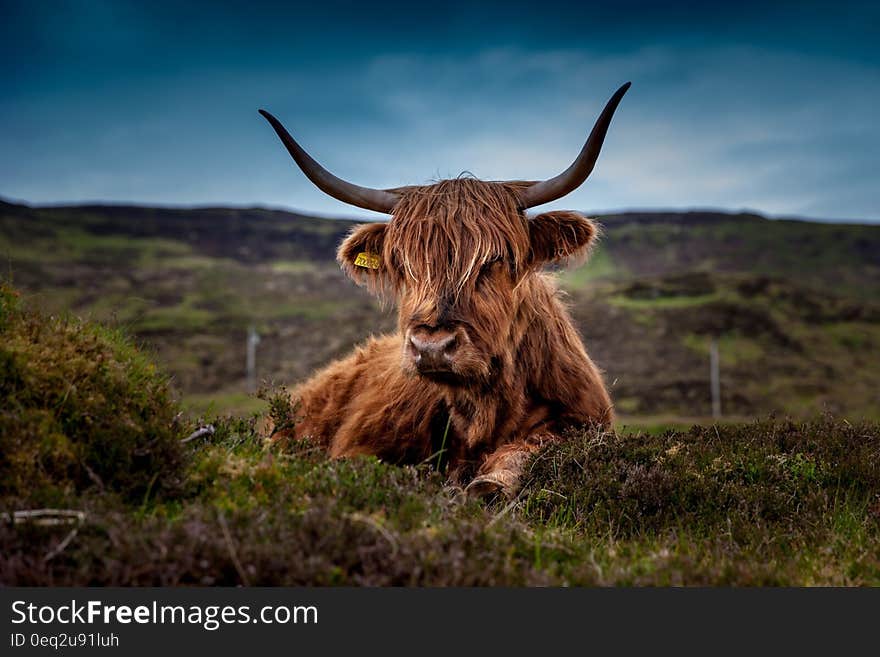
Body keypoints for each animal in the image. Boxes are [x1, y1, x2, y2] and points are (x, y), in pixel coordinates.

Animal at [258, 82, 628, 498]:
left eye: (494, 260)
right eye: (403, 264)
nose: (432, 347)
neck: (483, 411)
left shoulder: (583, 422)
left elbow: (529, 450)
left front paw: (490, 483)